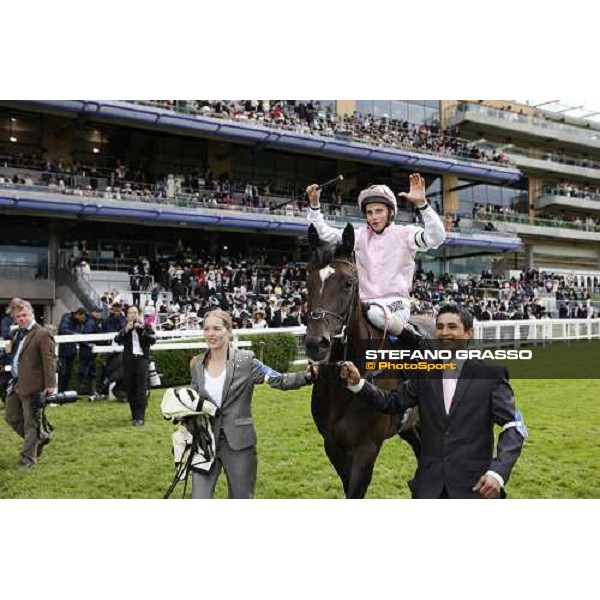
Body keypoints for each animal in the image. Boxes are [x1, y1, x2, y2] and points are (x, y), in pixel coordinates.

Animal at [304, 223, 432, 500]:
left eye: (348, 282)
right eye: (308, 281)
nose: (316, 343)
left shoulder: (366, 448)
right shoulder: (333, 446)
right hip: (410, 426)